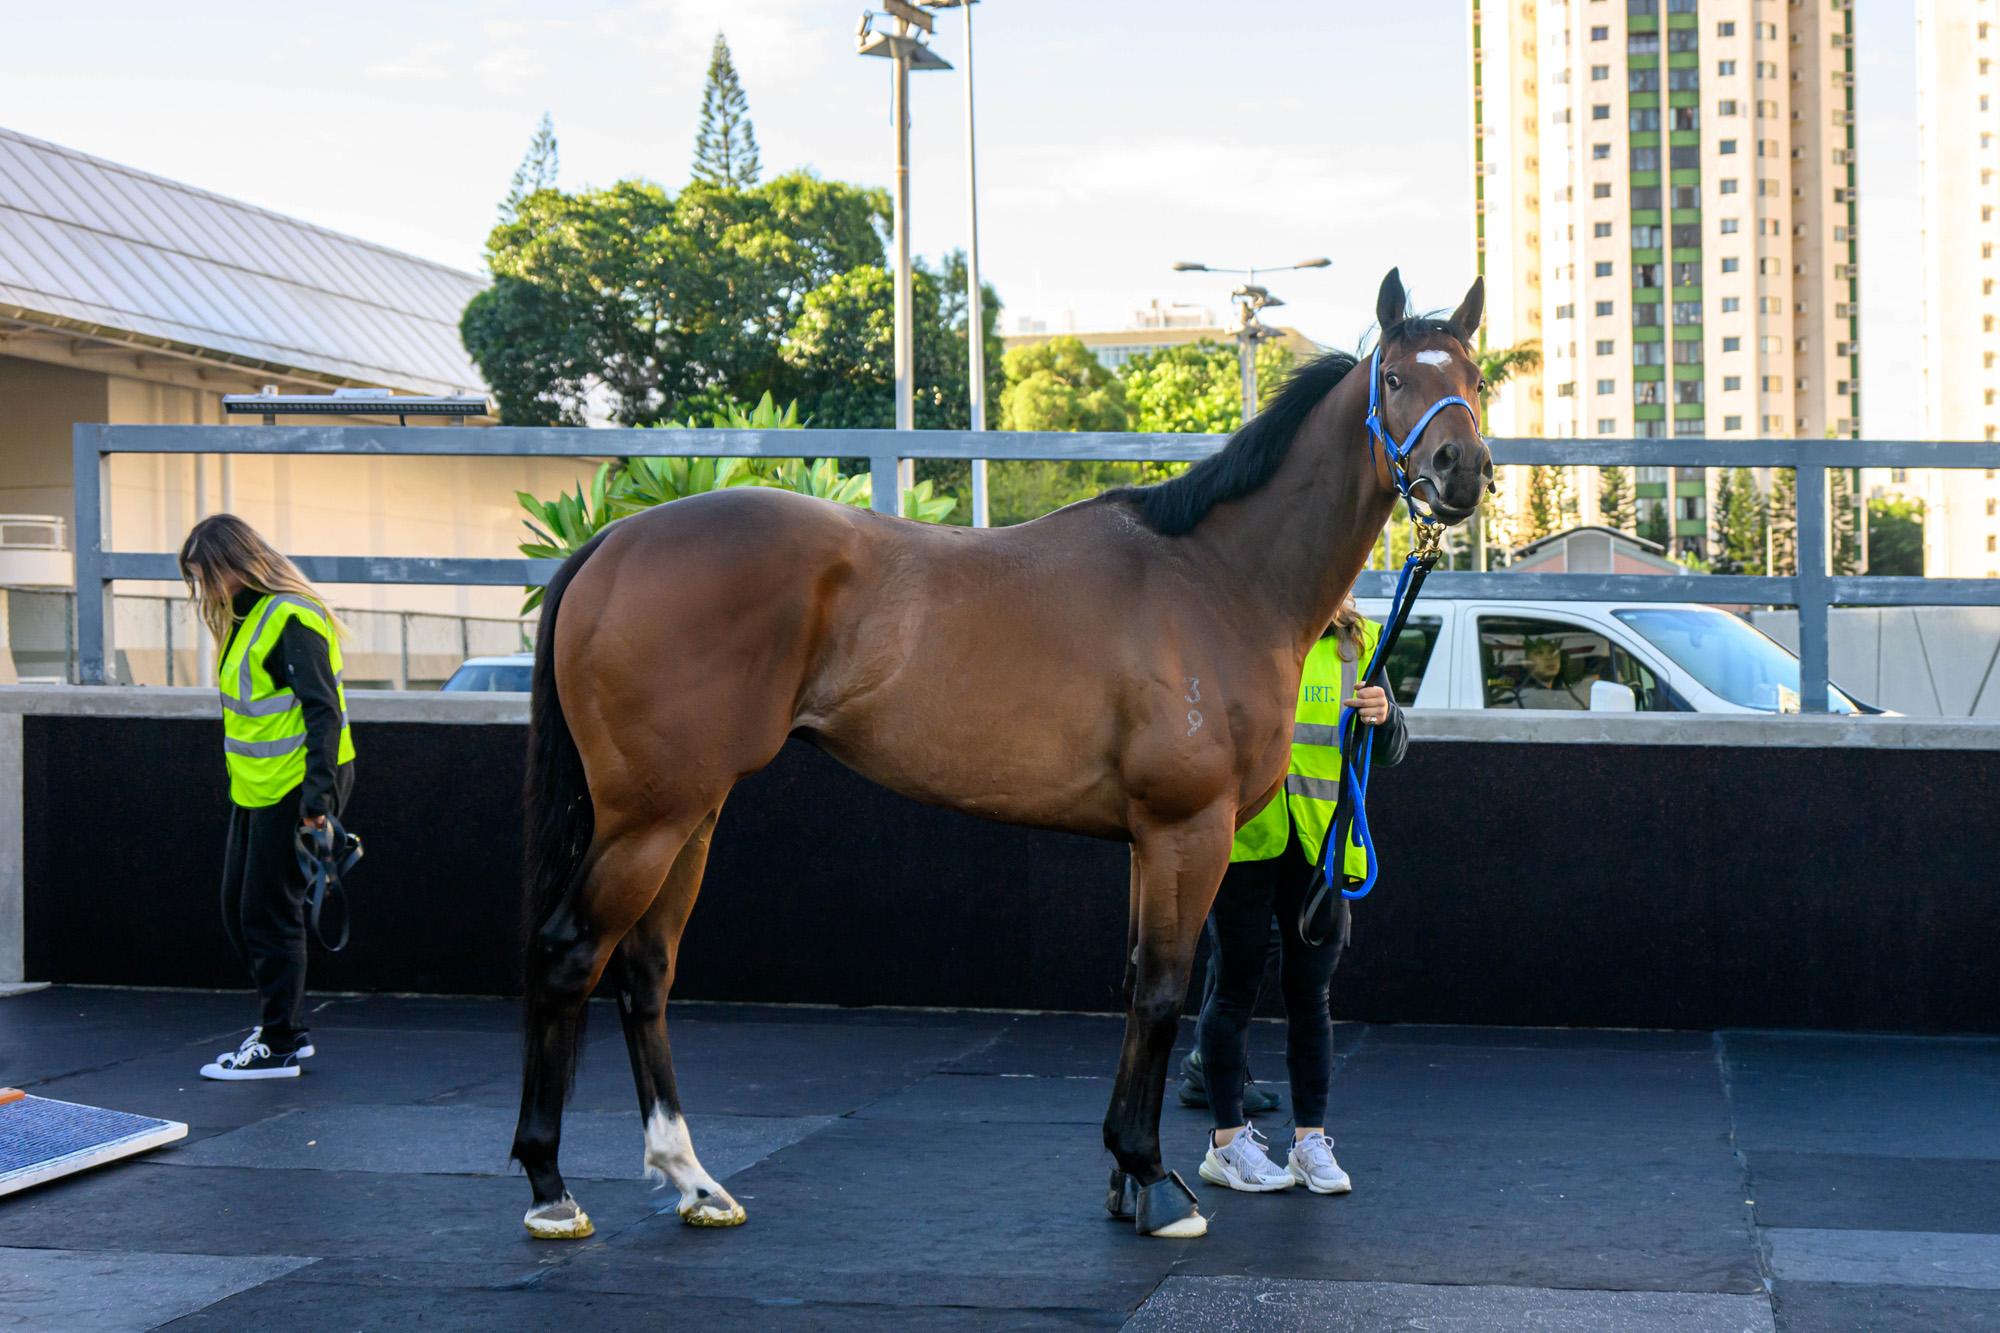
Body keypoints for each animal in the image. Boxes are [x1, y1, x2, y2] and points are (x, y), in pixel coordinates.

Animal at [512, 268, 1488, 1232]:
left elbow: (1134, 981)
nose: (1463, 470)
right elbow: (1164, 990)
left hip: (694, 812)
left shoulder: (1148, 842)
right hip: (650, 816)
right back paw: (550, 1185)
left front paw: (1123, 1170)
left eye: (1474, 377)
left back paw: (692, 1178)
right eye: (1395, 377)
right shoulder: (1189, 830)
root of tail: (613, 539)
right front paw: (1153, 1177)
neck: (1217, 577)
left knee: (645, 967)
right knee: (569, 953)